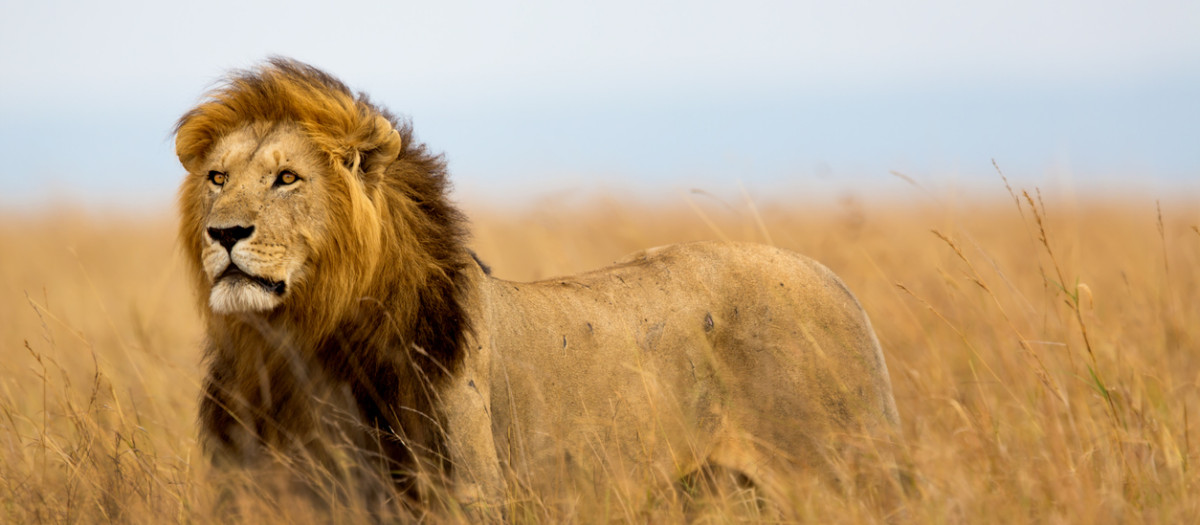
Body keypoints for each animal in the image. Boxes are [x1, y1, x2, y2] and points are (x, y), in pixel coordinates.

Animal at [175, 58, 902, 517]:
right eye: (217, 177)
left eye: (286, 178)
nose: (224, 233)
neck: (297, 344)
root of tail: (837, 283)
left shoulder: (464, 493)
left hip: (843, 475)